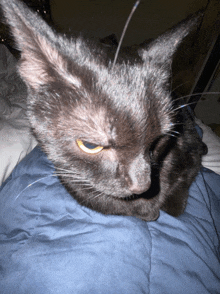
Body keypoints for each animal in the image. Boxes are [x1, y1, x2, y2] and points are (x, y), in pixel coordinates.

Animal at [0, 0, 206, 220]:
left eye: (159, 139)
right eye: (90, 146)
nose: (142, 185)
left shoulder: (187, 143)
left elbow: (182, 185)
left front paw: (161, 204)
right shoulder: (69, 174)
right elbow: (93, 195)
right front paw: (146, 210)